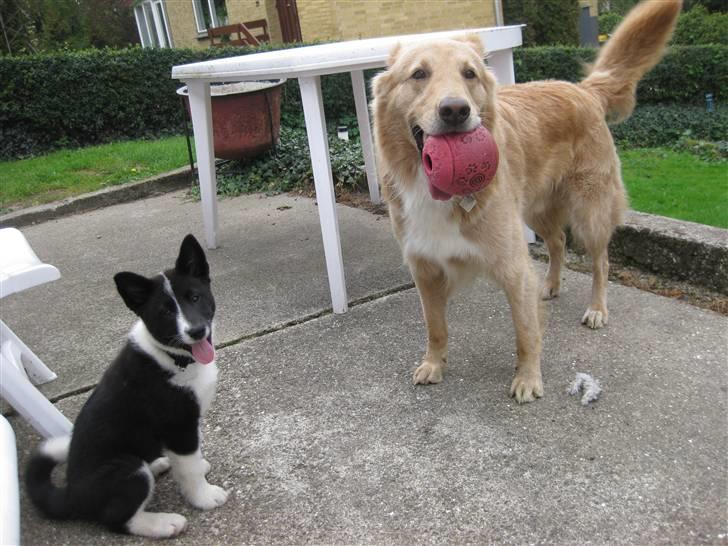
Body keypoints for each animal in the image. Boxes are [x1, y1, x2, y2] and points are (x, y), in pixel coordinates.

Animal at [27, 234, 228, 536]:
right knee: (116, 519)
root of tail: (71, 495)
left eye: (195, 297)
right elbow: (189, 466)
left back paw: (159, 464)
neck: (172, 358)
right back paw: (164, 523)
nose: (196, 331)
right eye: (165, 311)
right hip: (126, 469)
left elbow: (190, 461)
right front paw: (204, 497)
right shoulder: (178, 426)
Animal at [372, 0, 680, 400]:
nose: (456, 110)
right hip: (536, 211)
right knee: (559, 240)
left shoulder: (512, 265)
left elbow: (525, 331)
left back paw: (597, 308)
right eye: (419, 74)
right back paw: (549, 284)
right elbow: (435, 326)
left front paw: (528, 378)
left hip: (590, 213)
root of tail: (582, 90)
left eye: (469, 74)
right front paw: (434, 364)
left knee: (600, 261)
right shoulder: (424, 267)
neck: (433, 189)